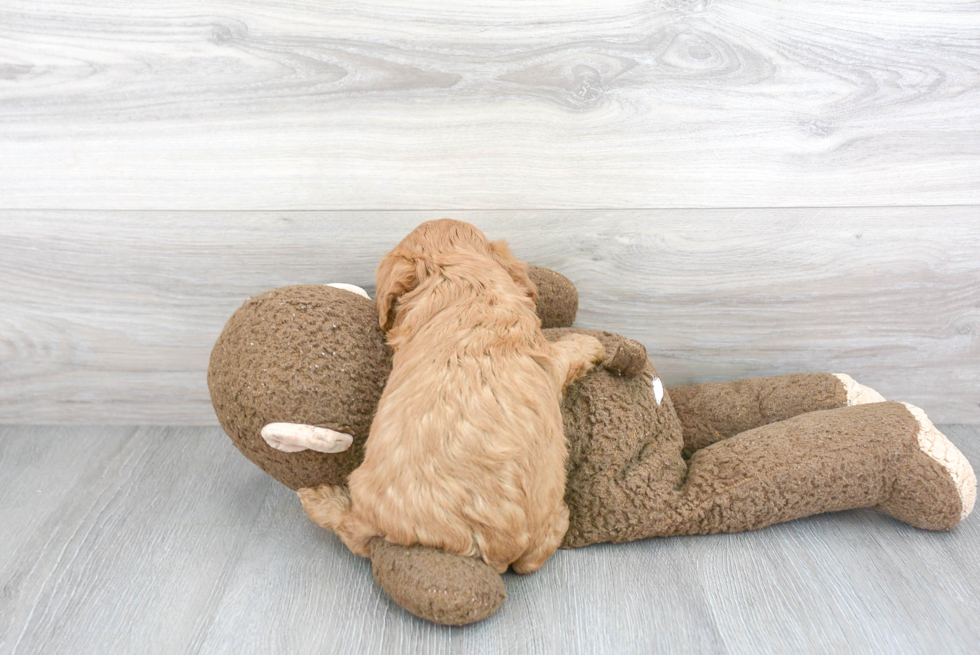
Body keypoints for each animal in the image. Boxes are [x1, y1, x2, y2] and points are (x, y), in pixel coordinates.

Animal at [298, 220, 604, 576]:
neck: (463, 280)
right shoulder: (547, 357)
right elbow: (566, 354)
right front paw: (592, 344)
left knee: (352, 531)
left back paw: (320, 499)